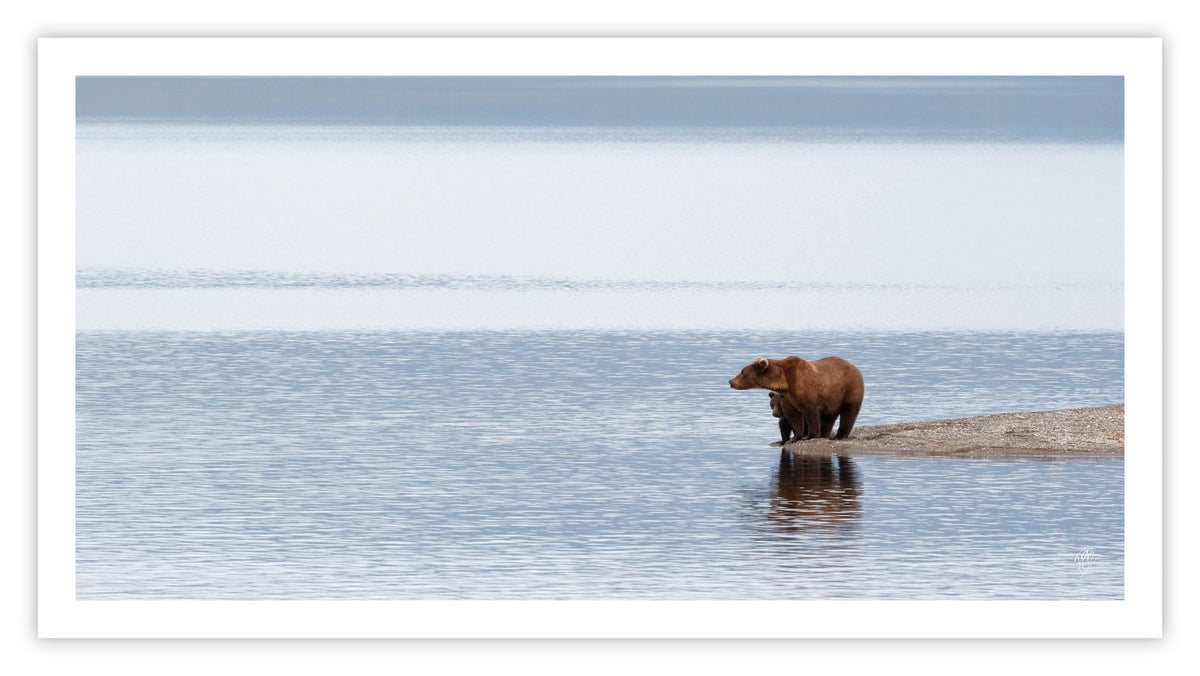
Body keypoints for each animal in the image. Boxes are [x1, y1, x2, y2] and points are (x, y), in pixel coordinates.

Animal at [729, 357, 864, 441]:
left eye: (742, 371)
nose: (731, 381)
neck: (785, 382)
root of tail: (856, 368)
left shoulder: (805, 388)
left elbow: (811, 412)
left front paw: (811, 435)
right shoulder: (789, 397)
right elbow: (793, 416)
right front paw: (796, 437)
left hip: (849, 390)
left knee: (849, 413)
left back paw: (840, 435)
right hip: (832, 399)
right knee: (828, 417)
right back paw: (825, 434)